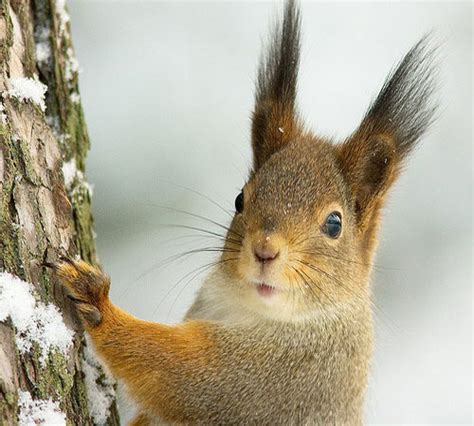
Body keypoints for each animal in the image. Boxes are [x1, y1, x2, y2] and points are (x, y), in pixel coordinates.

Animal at [52, 1, 436, 424]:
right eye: (240, 199)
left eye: (334, 224)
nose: (264, 250)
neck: (247, 307)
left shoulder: (275, 378)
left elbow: (179, 372)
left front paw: (98, 302)